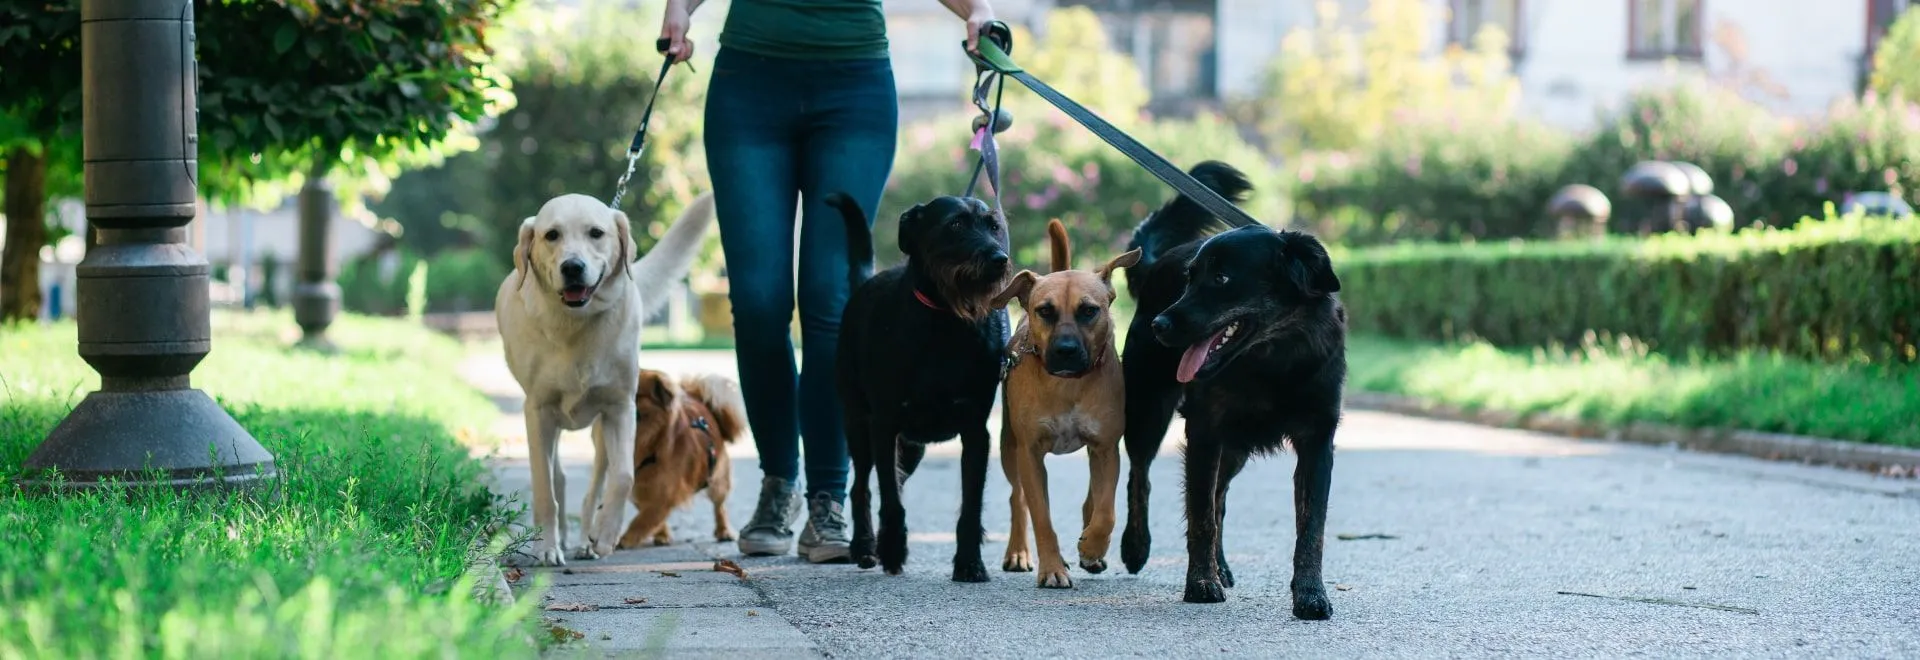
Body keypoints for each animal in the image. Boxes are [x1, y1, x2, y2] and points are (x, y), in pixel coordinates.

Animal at [618, 368, 744, 548]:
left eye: (636, 393)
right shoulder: (639, 489)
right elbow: (650, 516)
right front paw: (661, 533)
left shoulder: (667, 492)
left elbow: (644, 519)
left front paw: (626, 539)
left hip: (718, 481)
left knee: (720, 506)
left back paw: (724, 530)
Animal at [829, 190, 1021, 583]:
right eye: (956, 225)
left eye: (994, 226)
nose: (999, 259)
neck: (946, 319)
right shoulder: (884, 425)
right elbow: (889, 499)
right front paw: (891, 550)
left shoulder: (976, 431)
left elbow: (970, 504)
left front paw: (969, 562)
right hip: (858, 425)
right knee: (862, 487)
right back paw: (865, 545)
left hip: (911, 447)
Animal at [990, 217, 1136, 587]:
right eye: (1044, 311)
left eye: (1089, 311)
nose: (1066, 350)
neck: (1068, 385)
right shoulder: (1029, 453)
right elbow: (1041, 516)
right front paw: (1053, 568)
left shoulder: (1106, 447)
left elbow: (1106, 510)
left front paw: (1092, 547)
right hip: (1009, 447)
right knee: (1017, 498)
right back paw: (1018, 552)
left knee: (1092, 499)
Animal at [1121, 160, 1344, 617]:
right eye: (1189, 279)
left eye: (1222, 278)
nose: (1160, 326)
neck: (1273, 361)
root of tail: (1153, 266)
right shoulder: (1204, 433)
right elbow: (1201, 516)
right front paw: (1200, 583)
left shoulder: (1317, 443)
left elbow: (1311, 528)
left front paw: (1310, 593)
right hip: (1149, 411)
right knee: (1140, 475)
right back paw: (1135, 546)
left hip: (1236, 448)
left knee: (1220, 495)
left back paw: (1221, 565)